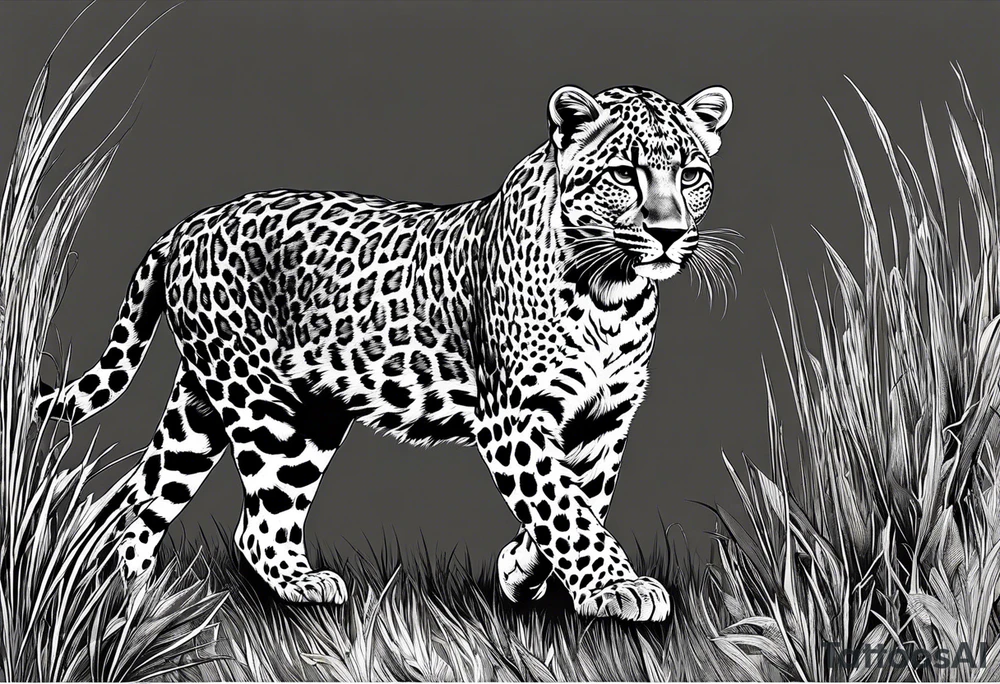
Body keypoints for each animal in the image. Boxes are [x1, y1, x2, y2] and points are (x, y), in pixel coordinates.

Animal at [36, 83, 734, 622]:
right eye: (624, 175)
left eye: (691, 176)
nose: (670, 234)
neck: (612, 295)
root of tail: (185, 225)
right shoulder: (515, 416)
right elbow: (566, 508)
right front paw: (618, 588)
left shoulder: (604, 418)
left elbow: (580, 499)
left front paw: (523, 571)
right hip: (267, 407)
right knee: (254, 526)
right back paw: (292, 588)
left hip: (228, 407)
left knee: (136, 499)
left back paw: (129, 601)